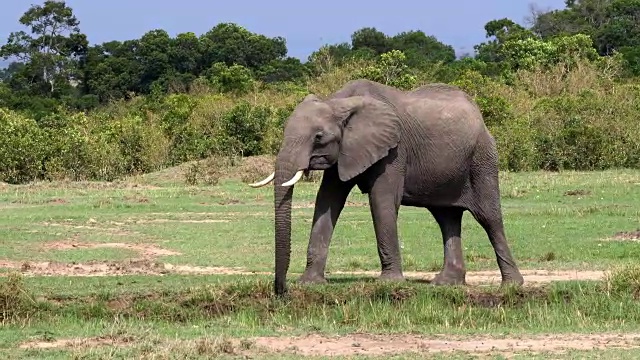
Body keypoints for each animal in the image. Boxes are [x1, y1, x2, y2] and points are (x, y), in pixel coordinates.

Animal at [248, 79, 524, 296]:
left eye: (318, 137)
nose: (281, 290)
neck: (341, 103)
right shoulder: (347, 150)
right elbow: (327, 200)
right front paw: (310, 284)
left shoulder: (394, 150)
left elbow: (381, 200)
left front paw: (389, 283)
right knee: (446, 218)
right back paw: (446, 284)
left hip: (482, 158)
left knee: (488, 218)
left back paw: (511, 286)